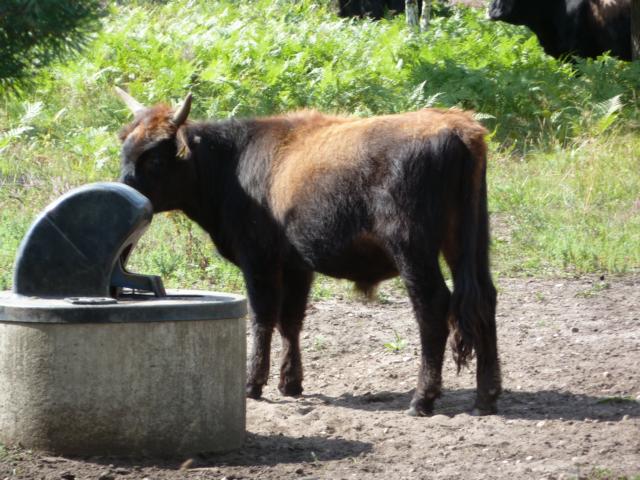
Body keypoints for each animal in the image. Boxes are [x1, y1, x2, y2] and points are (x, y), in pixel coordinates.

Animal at [116, 88, 504, 418]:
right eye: (125, 152)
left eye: (155, 161)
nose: (123, 191)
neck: (232, 164)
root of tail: (457, 127)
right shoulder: (297, 265)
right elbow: (291, 319)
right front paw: (290, 382)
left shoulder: (258, 259)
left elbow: (263, 317)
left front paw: (253, 384)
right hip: (468, 243)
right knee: (484, 298)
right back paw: (486, 396)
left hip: (412, 248)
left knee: (433, 307)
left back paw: (422, 398)